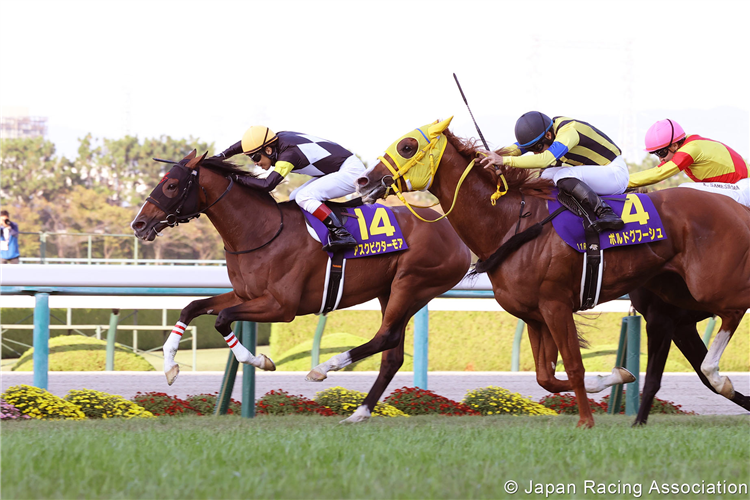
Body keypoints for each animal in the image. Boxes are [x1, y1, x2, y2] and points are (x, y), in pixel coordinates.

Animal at [130, 149, 470, 422]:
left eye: (171, 185)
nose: (138, 224)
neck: (261, 230)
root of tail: (453, 232)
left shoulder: (282, 306)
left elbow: (222, 320)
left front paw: (260, 360)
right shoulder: (245, 294)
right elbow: (192, 308)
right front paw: (170, 366)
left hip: (412, 285)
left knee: (386, 337)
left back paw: (323, 369)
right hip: (390, 291)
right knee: (392, 355)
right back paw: (359, 413)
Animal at [358, 117, 750, 426]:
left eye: (407, 146)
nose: (364, 181)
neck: (510, 223)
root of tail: (735, 207)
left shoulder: (556, 304)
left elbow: (573, 366)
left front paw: (586, 421)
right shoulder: (534, 315)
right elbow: (546, 377)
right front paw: (613, 376)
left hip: (710, 285)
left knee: (732, 311)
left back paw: (720, 376)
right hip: (678, 294)